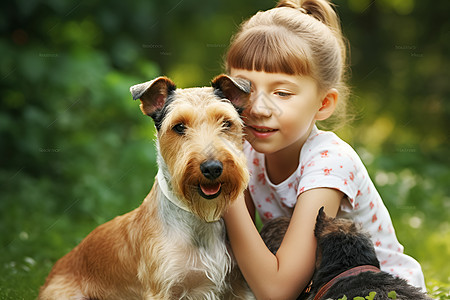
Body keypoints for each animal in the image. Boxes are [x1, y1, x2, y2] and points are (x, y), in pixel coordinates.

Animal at [39, 75, 255, 300]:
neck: (199, 219)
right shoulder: (162, 289)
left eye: (226, 123)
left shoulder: (239, 286)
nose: (212, 168)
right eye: (179, 126)